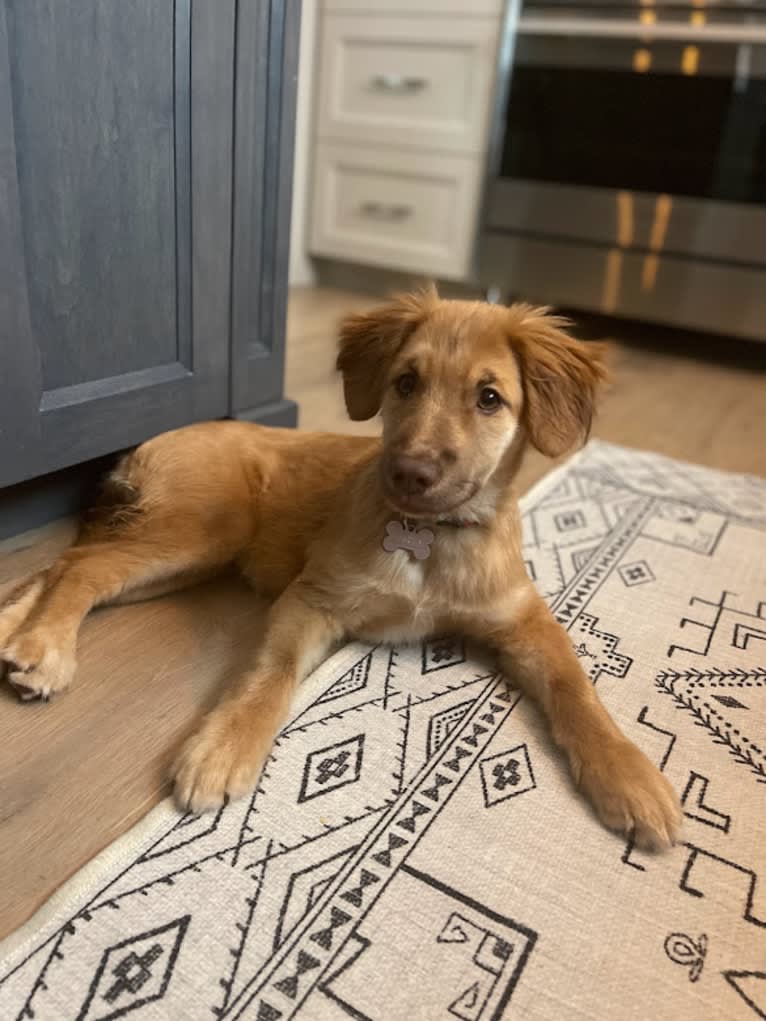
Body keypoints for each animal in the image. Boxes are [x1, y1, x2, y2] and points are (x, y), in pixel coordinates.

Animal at [0, 289, 682, 853]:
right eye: (405, 382)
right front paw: (225, 747)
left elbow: (575, 686)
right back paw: (45, 648)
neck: (431, 540)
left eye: (489, 398)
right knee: (82, 566)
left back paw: (15, 631)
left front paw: (629, 775)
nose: (408, 474)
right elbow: (271, 674)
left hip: (188, 555)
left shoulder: (524, 618)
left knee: (60, 565)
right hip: (204, 530)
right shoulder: (313, 598)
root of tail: (157, 437)